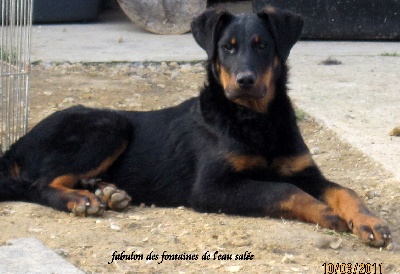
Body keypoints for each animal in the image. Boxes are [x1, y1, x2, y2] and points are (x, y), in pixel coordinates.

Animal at [0, 6, 390, 246]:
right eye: (227, 48)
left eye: (262, 45)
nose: (245, 81)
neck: (254, 119)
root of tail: (18, 143)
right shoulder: (210, 188)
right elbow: (282, 190)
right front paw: (326, 213)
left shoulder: (304, 170)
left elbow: (346, 191)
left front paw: (370, 222)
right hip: (110, 124)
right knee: (36, 184)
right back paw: (80, 199)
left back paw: (106, 191)